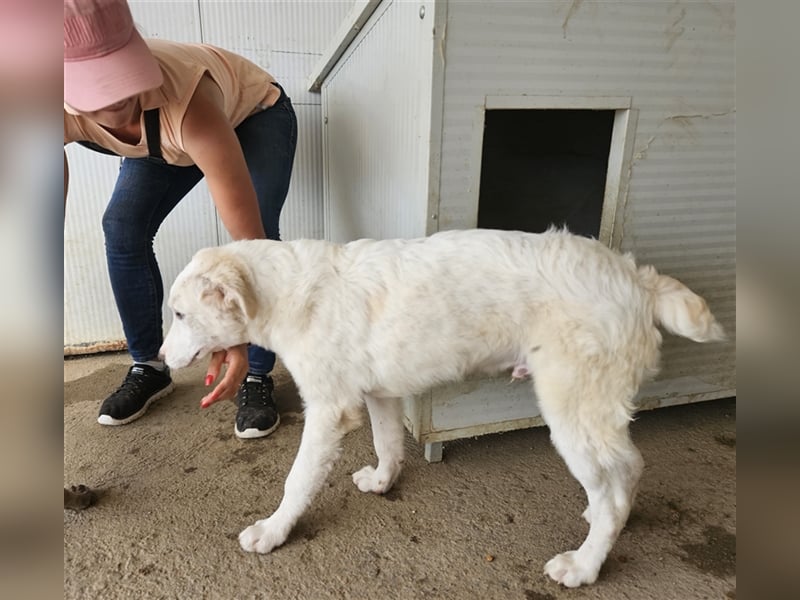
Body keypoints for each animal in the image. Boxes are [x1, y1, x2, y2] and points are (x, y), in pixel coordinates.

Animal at [159, 229, 720, 584]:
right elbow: (388, 443)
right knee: (626, 468)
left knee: (617, 483)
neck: (288, 292)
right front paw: (383, 482)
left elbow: (296, 481)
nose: (160, 359)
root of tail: (637, 279)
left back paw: (584, 566)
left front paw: (274, 531)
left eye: (181, 315)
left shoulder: (329, 408)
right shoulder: (379, 394)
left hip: (573, 407)